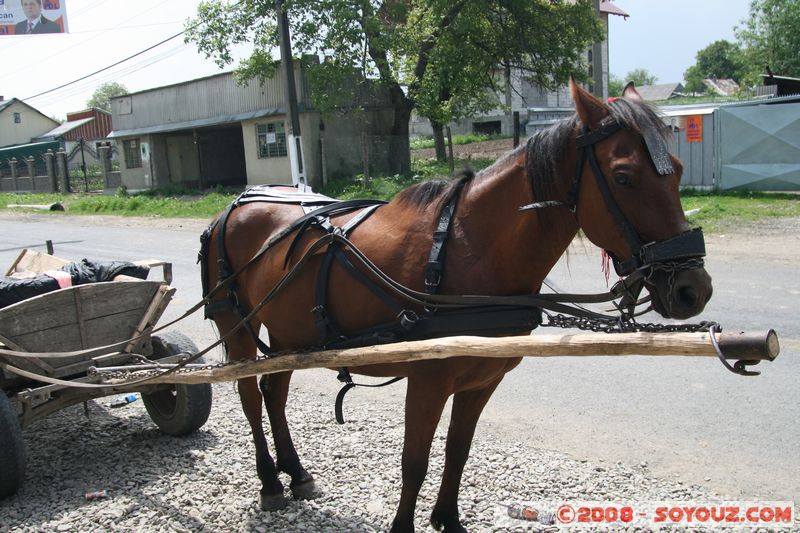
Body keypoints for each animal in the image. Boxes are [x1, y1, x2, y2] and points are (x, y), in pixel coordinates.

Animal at [199, 79, 713, 532]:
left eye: (679, 170)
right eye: (624, 177)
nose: (693, 288)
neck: (469, 250)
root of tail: (232, 208)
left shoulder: (482, 381)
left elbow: (457, 452)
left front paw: (448, 518)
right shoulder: (427, 382)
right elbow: (414, 461)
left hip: (290, 332)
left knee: (274, 392)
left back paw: (295, 472)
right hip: (237, 325)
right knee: (249, 396)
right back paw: (269, 480)